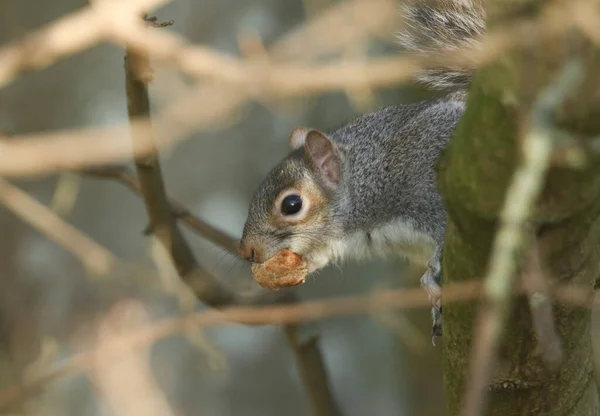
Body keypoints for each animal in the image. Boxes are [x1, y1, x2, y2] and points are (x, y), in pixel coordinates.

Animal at [239, 0, 488, 344]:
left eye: (291, 205)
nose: (247, 251)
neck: (366, 180)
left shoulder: (424, 181)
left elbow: (440, 233)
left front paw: (433, 279)